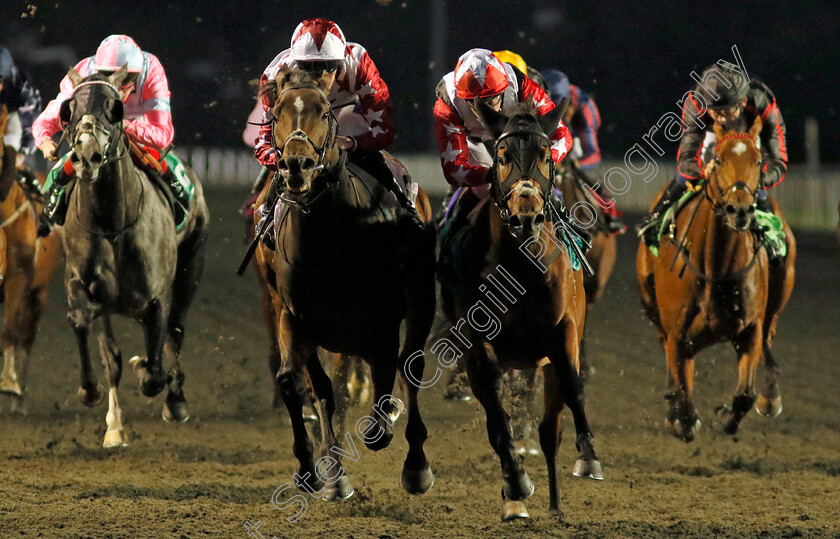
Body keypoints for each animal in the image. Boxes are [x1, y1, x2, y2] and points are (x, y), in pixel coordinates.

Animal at [254, 67, 436, 502]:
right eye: (276, 112)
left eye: (324, 111)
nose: (297, 165)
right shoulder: (294, 316)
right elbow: (300, 384)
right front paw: (319, 471)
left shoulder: (381, 321)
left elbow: (386, 376)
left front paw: (385, 427)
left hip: (421, 299)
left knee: (411, 364)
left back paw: (415, 463)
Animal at [440, 99, 604, 520]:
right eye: (501, 156)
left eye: (546, 154)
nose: (526, 215)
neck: (521, 269)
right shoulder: (478, 345)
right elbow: (499, 420)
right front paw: (515, 484)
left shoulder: (563, 333)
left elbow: (573, 387)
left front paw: (589, 457)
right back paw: (515, 500)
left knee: (549, 430)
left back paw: (556, 505)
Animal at [636, 118, 796, 442]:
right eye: (719, 160)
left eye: (758, 160)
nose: (739, 210)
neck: (716, 268)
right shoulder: (676, 332)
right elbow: (682, 393)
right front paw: (681, 417)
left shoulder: (750, 329)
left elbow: (745, 394)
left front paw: (729, 418)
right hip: (652, 304)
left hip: (781, 289)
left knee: (769, 334)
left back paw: (770, 398)